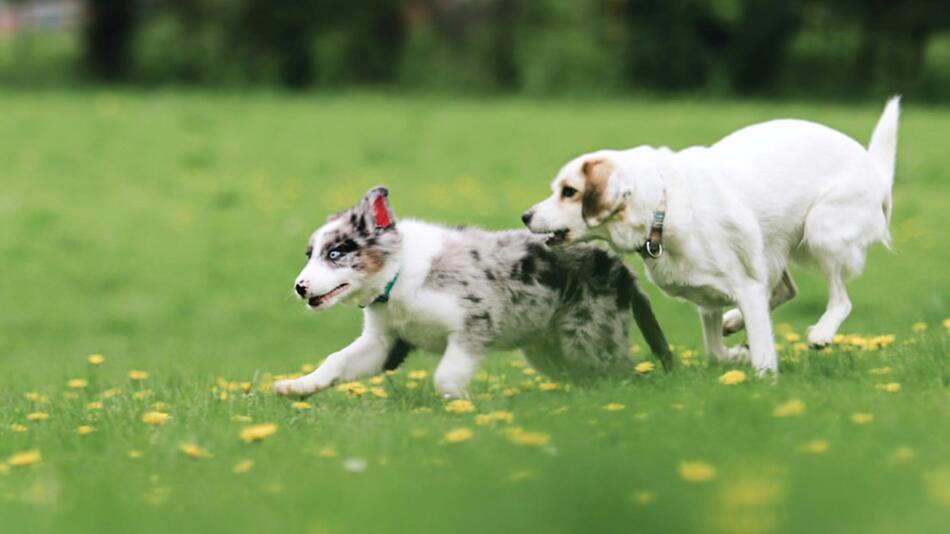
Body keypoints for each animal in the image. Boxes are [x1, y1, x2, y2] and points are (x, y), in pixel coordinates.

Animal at [276, 186, 672, 400]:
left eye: (336, 253)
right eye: (310, 254)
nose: (300, 287)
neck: (401, 278)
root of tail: (621, 269)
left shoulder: (475, 323)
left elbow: (446, 376)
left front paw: (465, 406)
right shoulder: (384, 341)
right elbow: (336, 361)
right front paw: (296, 386)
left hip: (588, 339)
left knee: (623, 373)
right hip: (549, 351)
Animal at [524, 99, 904, 376]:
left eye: (569, 191)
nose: (525, 216)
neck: (661, 208)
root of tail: (875, 168)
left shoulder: (746, 286)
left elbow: (762, 356)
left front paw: (762, 379)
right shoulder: (706, 301)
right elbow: (715, 352)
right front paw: (737, 353)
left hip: (822, 232)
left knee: (840, 300)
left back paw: (822, 333)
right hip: (771, 246)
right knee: (785, 289)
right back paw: (736, 322)